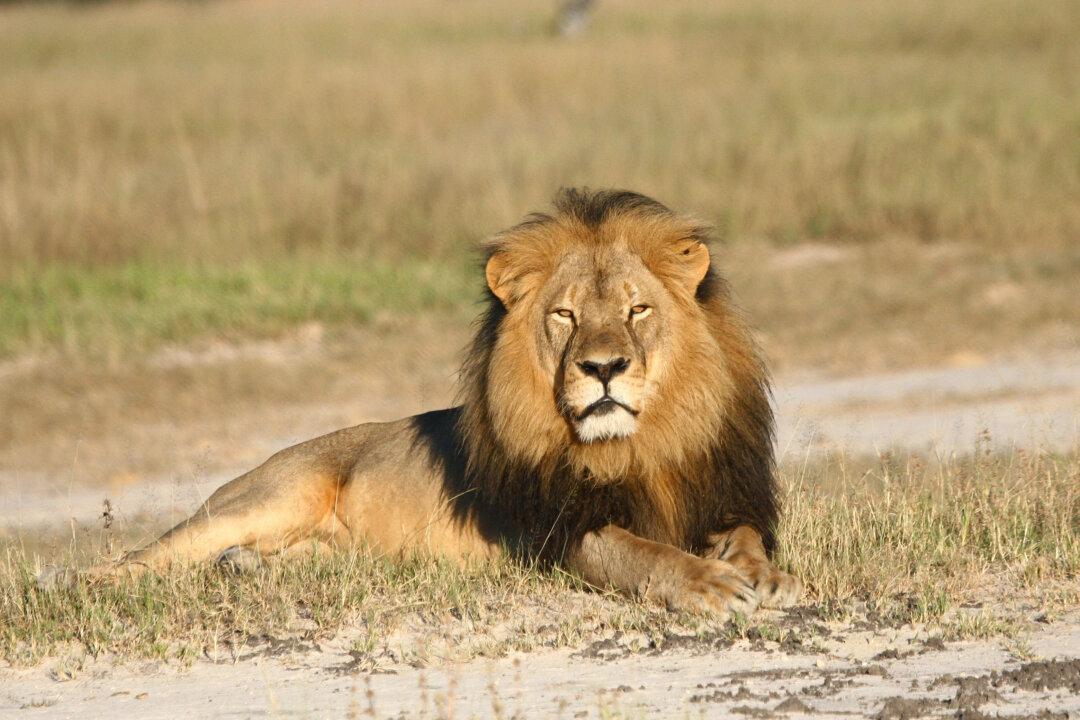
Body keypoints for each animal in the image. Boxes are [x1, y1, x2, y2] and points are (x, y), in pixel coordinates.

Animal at [62, 189, 801, 616]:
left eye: (637, 309)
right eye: (564, 316)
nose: (603, 368)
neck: (638, 446)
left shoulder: (720, 494)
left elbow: (745, 535)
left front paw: (764, 576)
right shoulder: (557, 532)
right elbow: (640, 554)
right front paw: (708, 585)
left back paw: (247, 567)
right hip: (270, 495)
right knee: (147, 555)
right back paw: (81, 586)